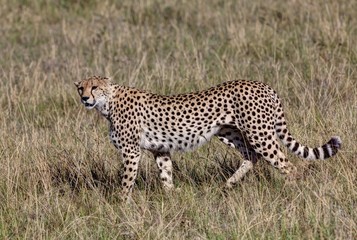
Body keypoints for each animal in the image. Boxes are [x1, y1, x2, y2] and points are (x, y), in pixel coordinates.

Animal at [73, 76, 340, 200]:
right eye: (81, 88)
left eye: (94, 87)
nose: (85, 98)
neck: (107, 103)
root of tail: (263, 85)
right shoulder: (160, 149)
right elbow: (166, 175)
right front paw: (172, 198)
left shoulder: (131, 151)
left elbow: (127, 181)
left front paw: (120, 203)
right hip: (230, 132)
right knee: (251, 156)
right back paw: (229, 184)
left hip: (259, 133)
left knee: (286, 164)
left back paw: (292, 191)